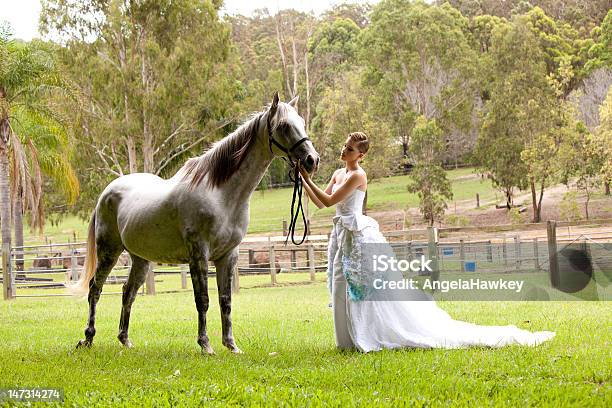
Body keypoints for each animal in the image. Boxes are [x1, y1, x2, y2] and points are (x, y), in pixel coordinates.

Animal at [74, 92, 318, 354]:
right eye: (283, 126)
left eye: (302, 122)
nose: (312, 160)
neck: (220, 194)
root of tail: (106, 192)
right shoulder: (199, 253)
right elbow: (203, 300)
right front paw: (206, 345)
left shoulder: (228, 255)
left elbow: (225, 300)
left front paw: (231, 345)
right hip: (109, 251)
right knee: (95, 289)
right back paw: (87, 338)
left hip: (140, 259)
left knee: (127, 292)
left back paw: (125, 340)